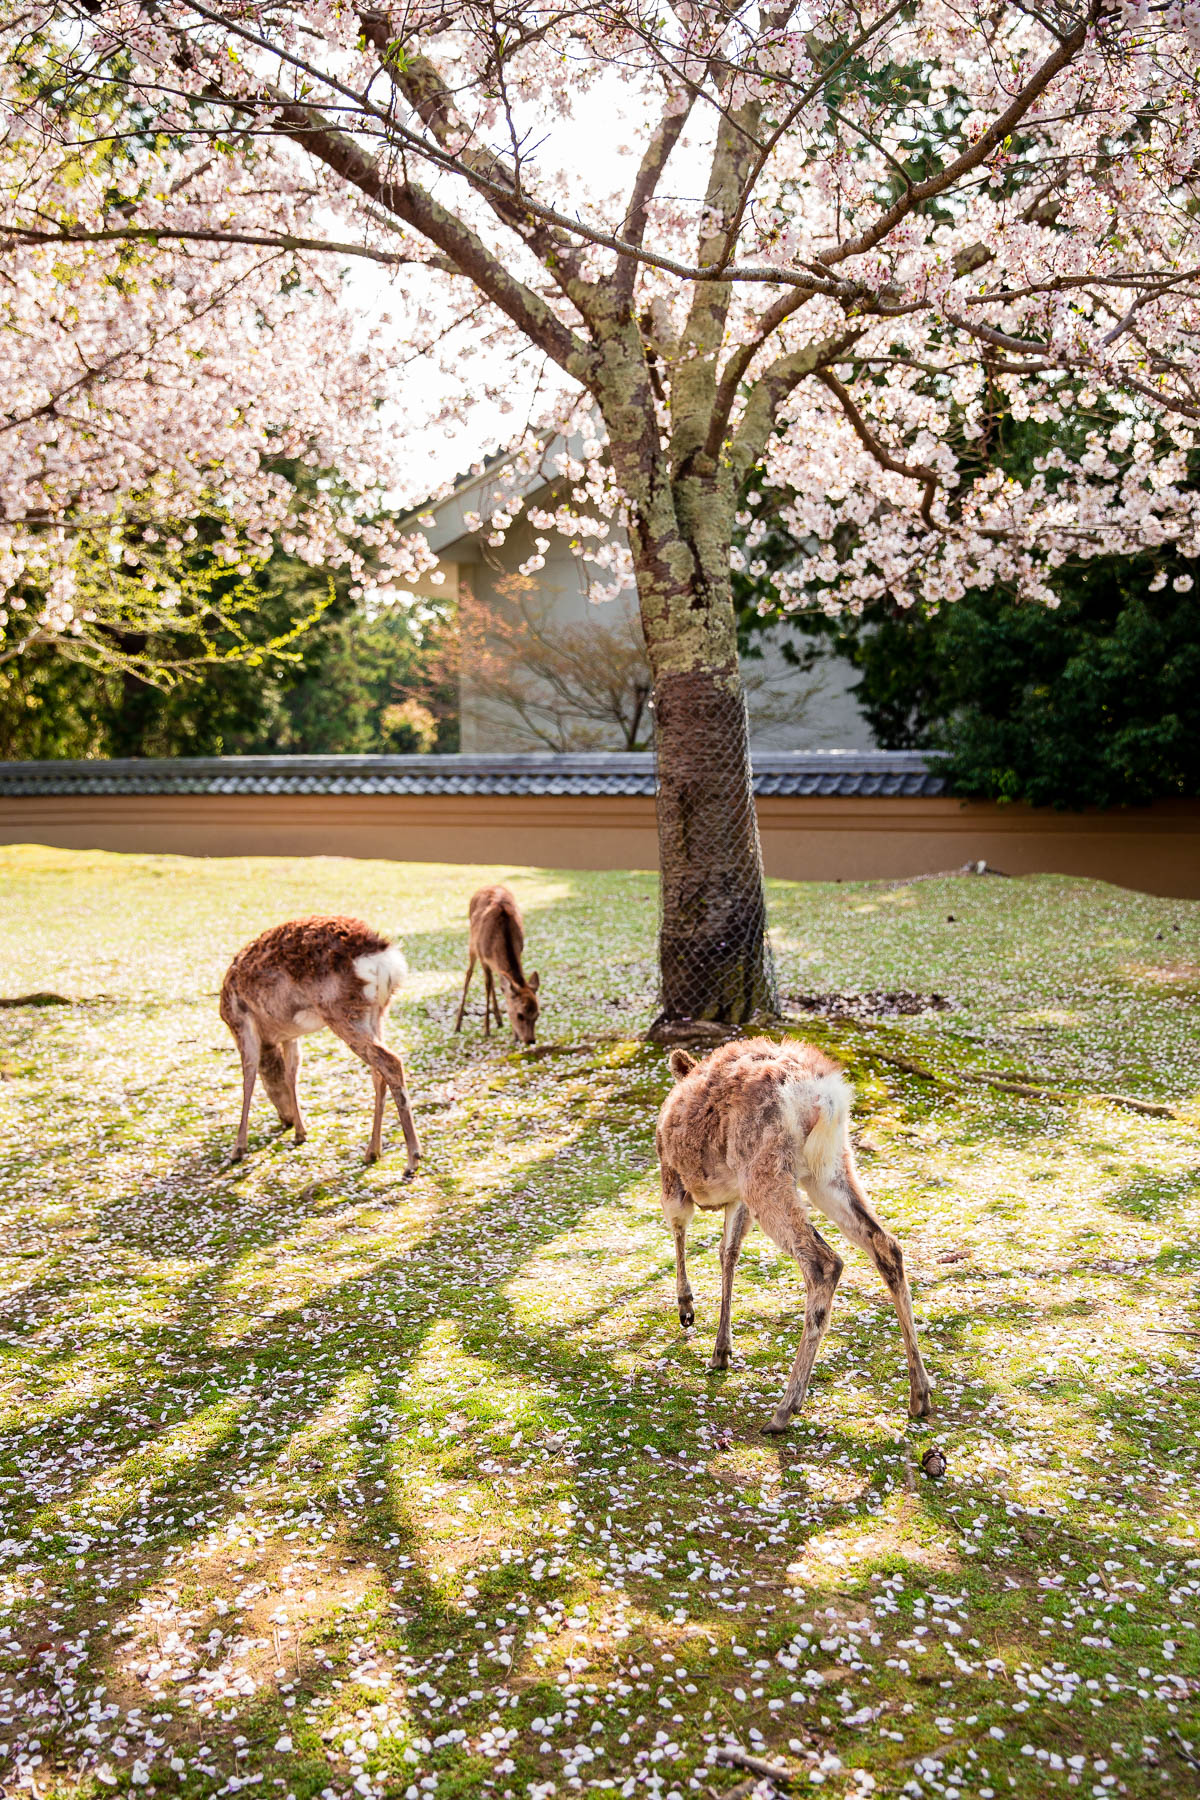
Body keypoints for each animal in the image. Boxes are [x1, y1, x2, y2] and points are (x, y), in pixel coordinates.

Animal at [220, 914, 422, 1180]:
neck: (270, 1039)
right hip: (376, 1012)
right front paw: (300, 1132)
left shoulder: (241, 1023)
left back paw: (412, 1159)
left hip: (340, 1011)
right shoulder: (289, 1035)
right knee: (378, 1072)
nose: (285, 1120)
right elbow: (291, 1074)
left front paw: (237, 1149)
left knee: (391, 1061)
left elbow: (248, 1078)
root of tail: (385, 957)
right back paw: (372, 1151)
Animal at [453, 882, 543, 1044]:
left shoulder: (519, 951)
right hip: (472, 945)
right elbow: (487, 986)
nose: (530, 1040)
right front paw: (486, 1030)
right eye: (520, 1014)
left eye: (537, 1014)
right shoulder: (483, 957)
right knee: (469, 975)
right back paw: (458, 1025)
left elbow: (504, 987)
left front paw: (514, 1035)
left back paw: (499, 1019)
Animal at [658, 1036, 928, 1425]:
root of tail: (824, 1096)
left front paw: (686, 1309)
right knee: (886, 1243)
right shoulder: (737, 1198)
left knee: (824, 1262)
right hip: (829, 1166)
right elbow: (728, 1253)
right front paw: (722, 1349)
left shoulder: (671, 1176)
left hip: (763, 1167)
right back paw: (920, 1394)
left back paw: (786, 1407)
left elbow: (680, 1232)